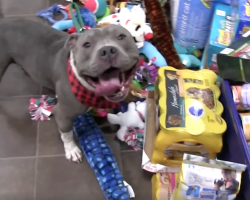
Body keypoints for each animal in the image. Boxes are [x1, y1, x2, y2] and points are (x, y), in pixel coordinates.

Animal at [0, 18, 139, 162]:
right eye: (86, 44)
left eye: (121, 37)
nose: (107, 50)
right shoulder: (62, 114)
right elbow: (67, 134)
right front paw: (71, 149)